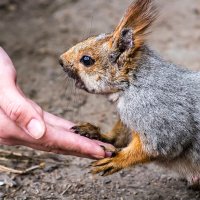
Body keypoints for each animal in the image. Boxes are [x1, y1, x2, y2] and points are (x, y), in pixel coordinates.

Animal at [58, 0, 200, 188]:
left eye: (87, 60)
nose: (60, 60)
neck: (132, 84)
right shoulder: (128, 121)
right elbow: (119, 137)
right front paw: (95, 132)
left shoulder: (156, 113)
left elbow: (159, 144)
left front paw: (118, 160)